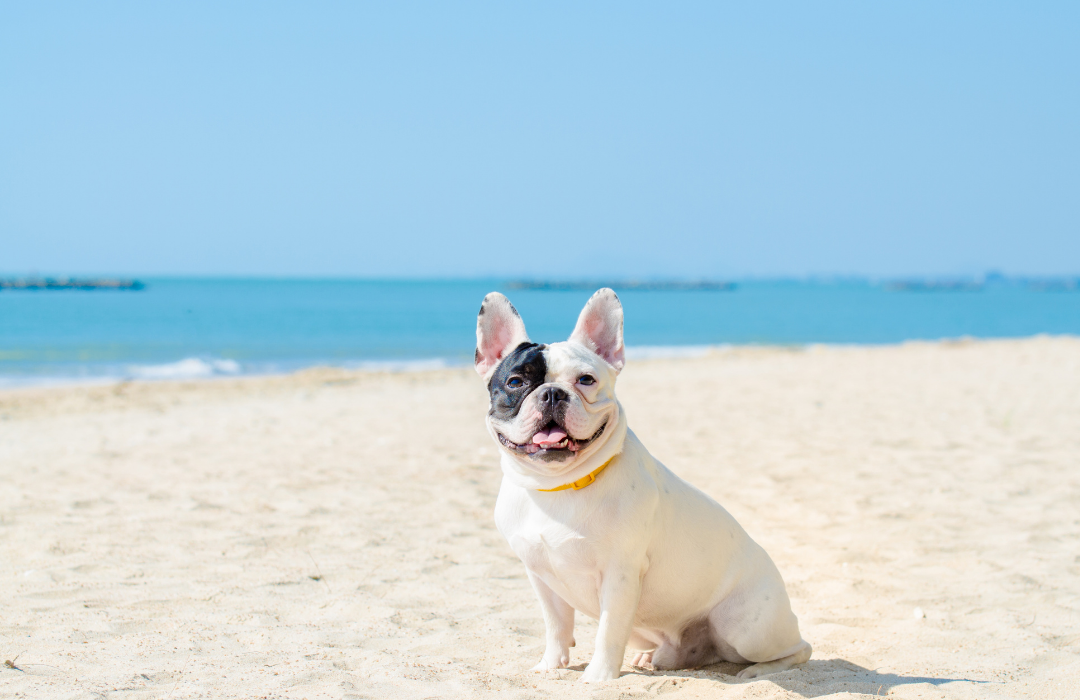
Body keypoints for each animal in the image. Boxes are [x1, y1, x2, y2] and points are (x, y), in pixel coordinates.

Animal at [473, 287, 812, 682]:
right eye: (515, 383)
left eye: (586, 380)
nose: (553, 393)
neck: (558, 486)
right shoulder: (540, 575)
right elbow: (556, 625)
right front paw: (550, 664)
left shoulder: (620, 575)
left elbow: (608, 630)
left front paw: (598, 677)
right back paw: (651, 658)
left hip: (744, 627)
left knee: (800, 649)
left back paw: (759, 672)